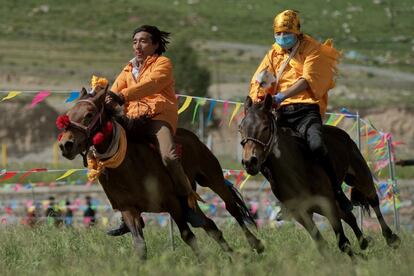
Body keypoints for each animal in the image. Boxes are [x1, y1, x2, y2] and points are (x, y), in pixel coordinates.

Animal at [57, 85, 262, 258]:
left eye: (89, 114)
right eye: (68, 114)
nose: (65, 144)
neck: (127, 166)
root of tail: (194, 137)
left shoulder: (172, 202)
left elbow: (188, 236)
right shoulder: (128, 209)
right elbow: (140, 244)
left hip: (212, 178)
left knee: (231, 208)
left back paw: (256, 244)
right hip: (190, 200)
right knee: (210, 225)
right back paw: (232, 256)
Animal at [239, 94, 402, 256]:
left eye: (265, 127)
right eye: (241, 128)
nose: (250, 161)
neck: (294, 170)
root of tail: (344, 136)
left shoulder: (327, 204)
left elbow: (343, 242)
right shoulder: (301, 213)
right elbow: (321, 243)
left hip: (360, 178)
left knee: (373, 201)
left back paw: (391, 238)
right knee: (349, 216)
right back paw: (364, 242)